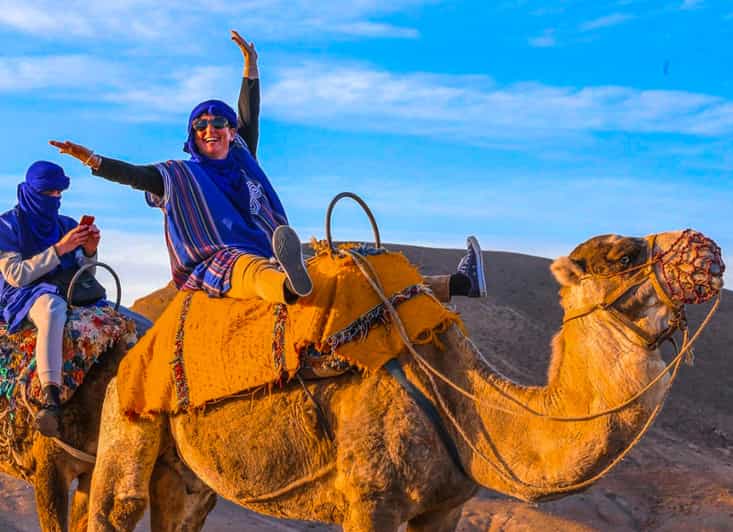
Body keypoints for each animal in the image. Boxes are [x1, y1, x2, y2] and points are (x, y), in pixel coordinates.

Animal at [86, 230, 724, 532]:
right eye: (623, 255)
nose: (710, 252)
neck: (467, 406)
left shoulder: (445, 508)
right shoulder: (371, 499)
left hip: (187, 472)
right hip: (128, 409)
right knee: (114, 506)